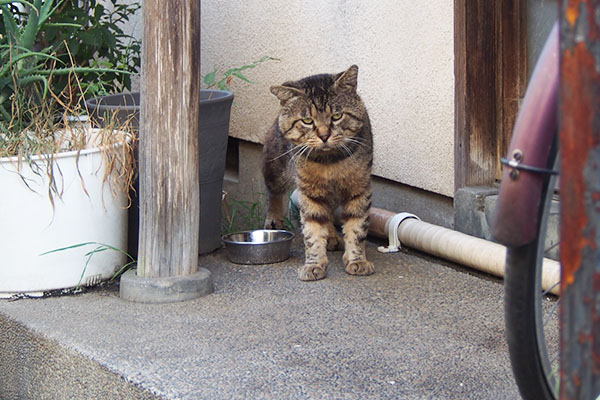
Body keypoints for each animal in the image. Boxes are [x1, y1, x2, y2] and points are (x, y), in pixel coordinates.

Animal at [264, 65, 376, 282]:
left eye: (337, 116)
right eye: (307, 120)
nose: (324, 135)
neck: (330, 162)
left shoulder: (359, 188)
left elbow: (357, 227)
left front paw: (357, 260)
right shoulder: (309, 191)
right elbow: (312, 231)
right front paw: (313, 264)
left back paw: (332, 236)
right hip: (276, 167)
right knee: (273, 192)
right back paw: (273, 220)